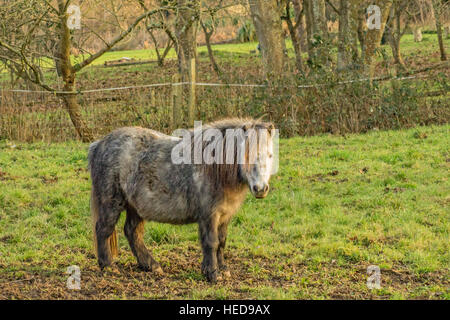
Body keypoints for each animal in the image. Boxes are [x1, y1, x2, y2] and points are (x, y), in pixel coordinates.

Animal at [88, 118, 276, 282]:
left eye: (270, 155)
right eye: (246, 155)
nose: (260, 189)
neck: (216, 170)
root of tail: (99, 144)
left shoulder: (225, 215)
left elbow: (222, 241)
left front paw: (223, 269)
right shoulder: (209, 216)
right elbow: (211, 242)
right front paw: (213, 274)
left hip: (135, 206)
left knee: (132, 232)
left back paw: (151, 265)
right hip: (111, 202)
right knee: (104, 229)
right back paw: (108, 266)